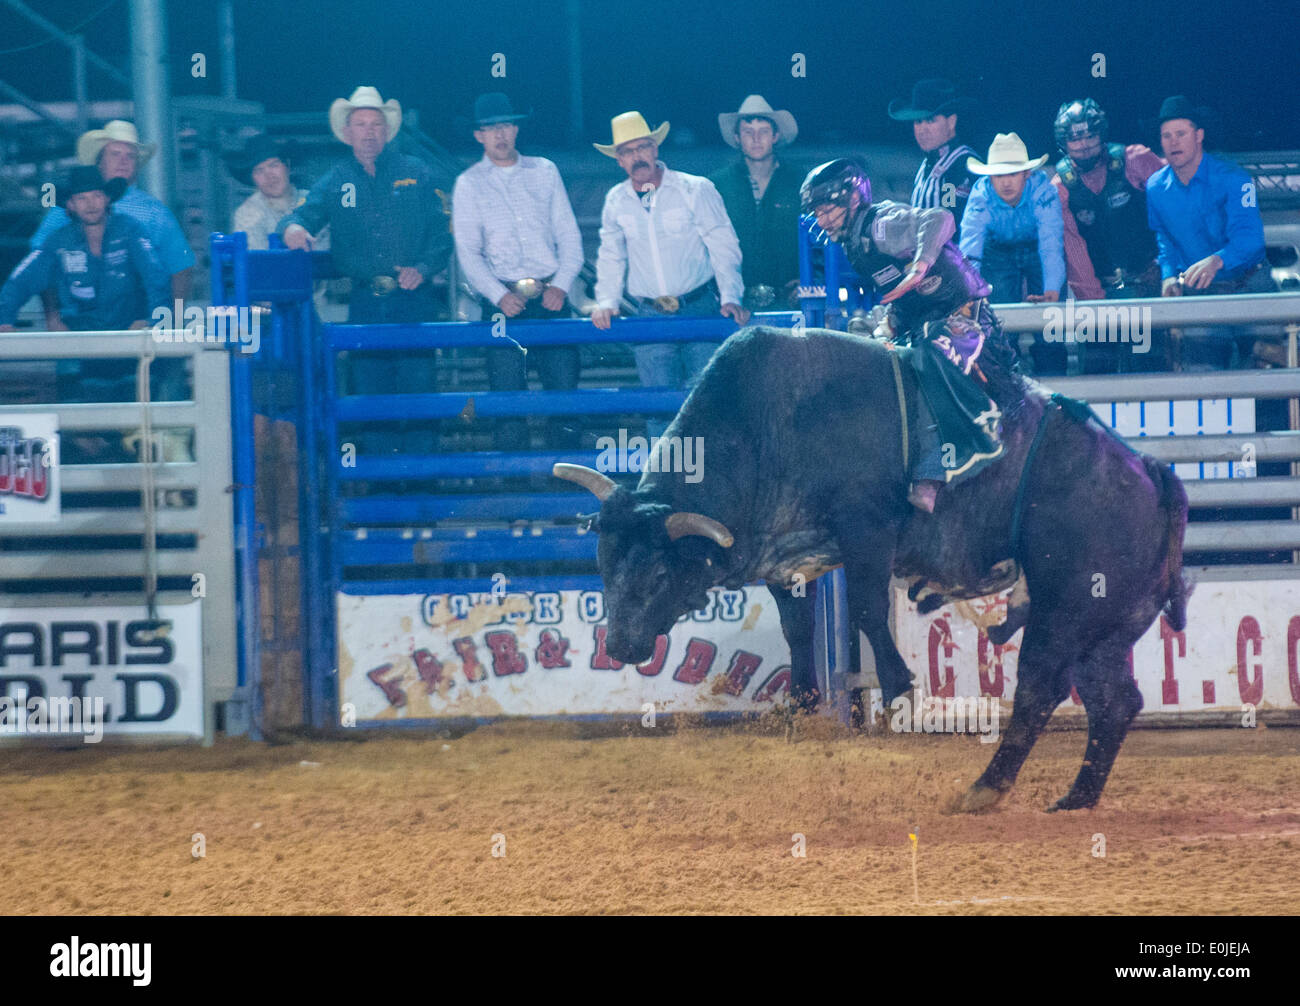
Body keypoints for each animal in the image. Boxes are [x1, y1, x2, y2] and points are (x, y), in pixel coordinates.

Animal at [559, 327, 1190, 816]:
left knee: (1041, 688)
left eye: (659, 577)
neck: (772, 421)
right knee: (1115, 702)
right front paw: (803, 707)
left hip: (1068, 608)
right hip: (1107, 623)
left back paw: (985, 788)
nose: (621, 644)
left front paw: (898, 687)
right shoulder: (787, 562)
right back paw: (1076, 797)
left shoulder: (867, 529)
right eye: (603, 565)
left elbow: (865, 605)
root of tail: (1149, 471)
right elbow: (798, 627)